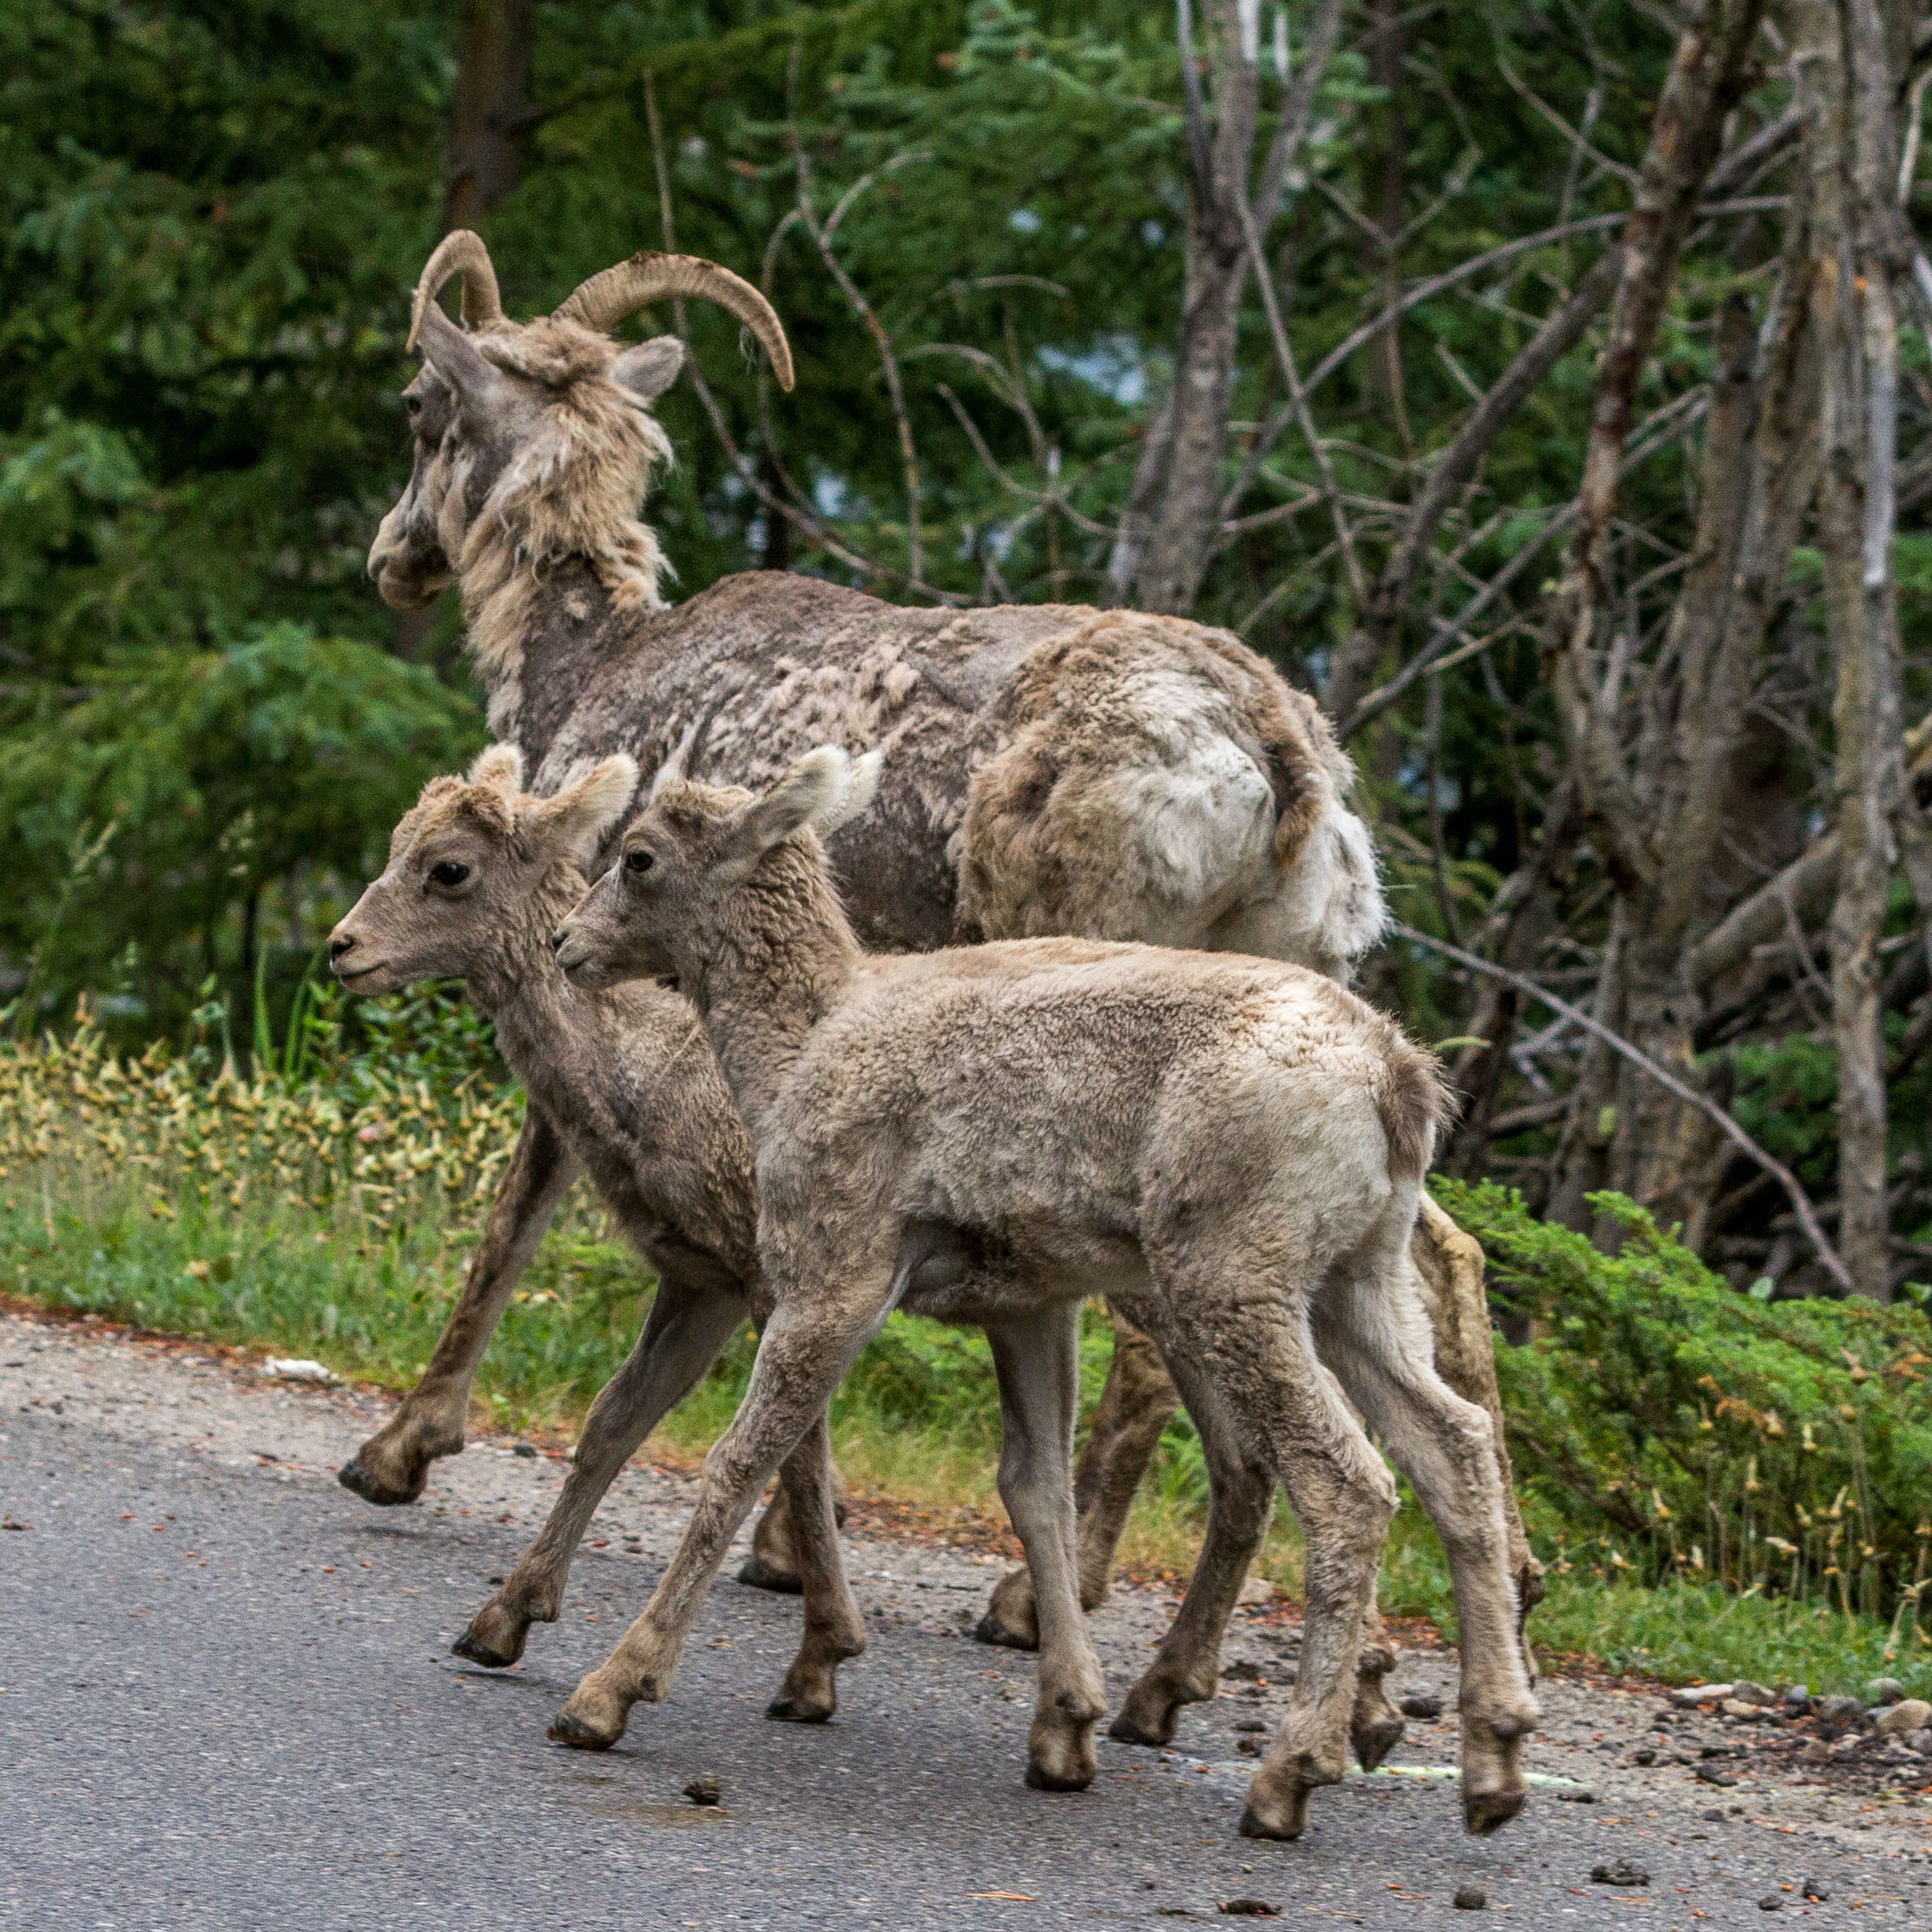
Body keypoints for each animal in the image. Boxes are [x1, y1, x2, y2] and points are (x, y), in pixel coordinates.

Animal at [348, 232, 1538, 1723]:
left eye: (417, 410)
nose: (391, 561)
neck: (587, 669)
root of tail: (1277, 768)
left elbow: (519, 1212)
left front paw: (398, 1455)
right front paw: (789, 1566)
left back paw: (1060, 1612)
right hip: (1309, 988)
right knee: (1436, 1261)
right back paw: (1415, 1644)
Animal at [546, 746, 1540, 1838]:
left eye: (639, 856)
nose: (565, 944)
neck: (797, 1048)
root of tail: (1398, 1081)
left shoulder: (836, 1271)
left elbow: (739, 1459)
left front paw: (605, 1695)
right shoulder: (1029, 1306)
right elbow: (1036, 1490)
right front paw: (1063, 1730)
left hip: (1237, 1280)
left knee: (1347, 1481)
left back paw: (1289, 1775)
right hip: (1358, 1281)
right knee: (1453, 1445)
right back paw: (1493, 1764)